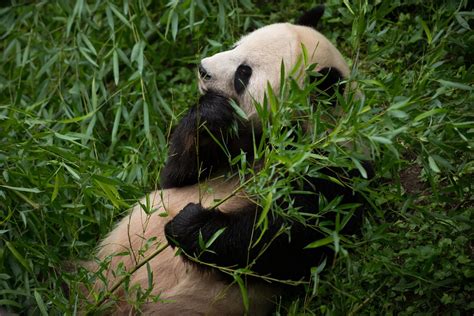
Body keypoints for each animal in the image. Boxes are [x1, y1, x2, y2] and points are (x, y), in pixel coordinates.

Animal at [86, 6, 366, 314]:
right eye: (236, 45)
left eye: (244, 73)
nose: (203, 69)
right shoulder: (233, 148)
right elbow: (174, 176)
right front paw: (210, 112)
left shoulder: (332, 175)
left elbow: (279, 240)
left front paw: (187, 223)